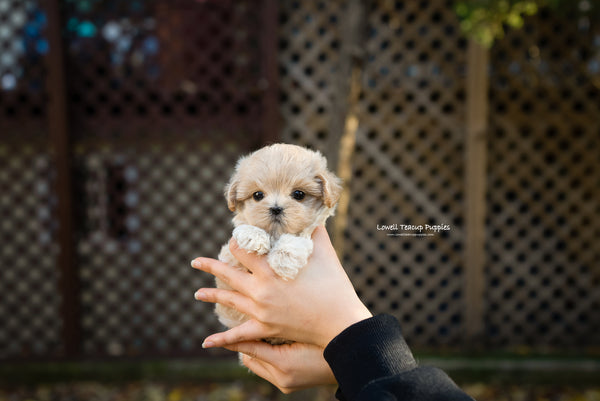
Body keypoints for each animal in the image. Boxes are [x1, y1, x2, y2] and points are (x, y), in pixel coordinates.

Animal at [216, 142, 342, 342]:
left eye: (298, 194)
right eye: (257, 195)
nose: (276, 208)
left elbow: (298, 237)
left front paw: (284, 258)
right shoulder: (228, 260)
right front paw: (253, 236)